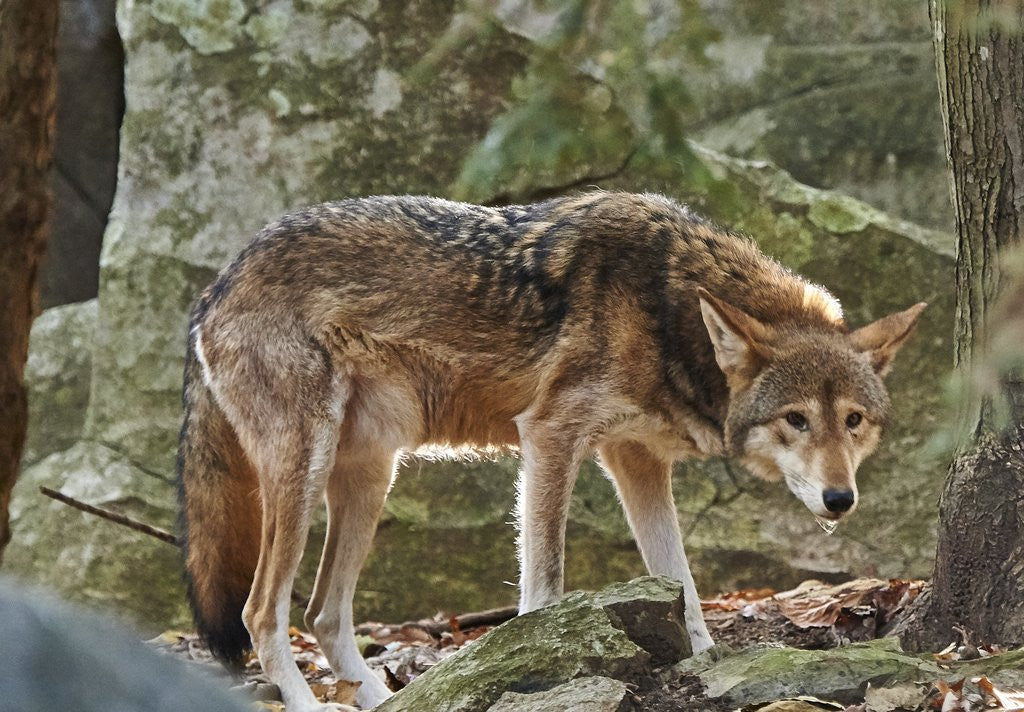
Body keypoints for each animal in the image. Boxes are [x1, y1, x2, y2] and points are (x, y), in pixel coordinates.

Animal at [177, 192, 924, 711]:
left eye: (853, 421)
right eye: (796, 419)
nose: (840, 498)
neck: (666, 307)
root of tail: (214, 287)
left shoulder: (634, 460)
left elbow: (681, 582)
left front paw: (706, 664)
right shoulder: (551, 437)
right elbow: (546, 584)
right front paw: (535, 661)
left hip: (368, 479)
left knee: (324, 614)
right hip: (304, 477)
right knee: (261, 613)